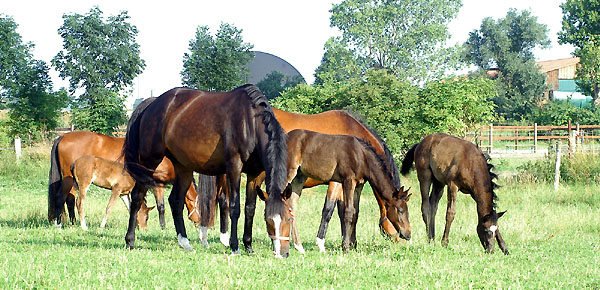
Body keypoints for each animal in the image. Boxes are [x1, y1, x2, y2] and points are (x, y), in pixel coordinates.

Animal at [48, 130, 199, 228]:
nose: (198, 223)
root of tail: (63, 136)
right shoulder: (157, 184)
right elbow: (161, 207)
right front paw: (163, 227)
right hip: (70, 179)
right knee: (62, 198)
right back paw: (59, 223)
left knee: (70, 199)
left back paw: (73, 222)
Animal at [123, 85, 290, 258]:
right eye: (268, 220)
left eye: (289, 219)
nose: (282, 253)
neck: (251, 121)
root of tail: (151, 104)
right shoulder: (234, 167)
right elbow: (234, 207)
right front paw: (235, 246)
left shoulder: (255, 174)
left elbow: (250, 208)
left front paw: (249, 246)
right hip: (149, 162)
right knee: (137, 197)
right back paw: (130, 240)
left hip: (183, 167)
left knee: (176, 200)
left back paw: (185, 243)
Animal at [195, 107, 410, 253]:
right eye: (400, 211)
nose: (405, 237)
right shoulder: (338, 183)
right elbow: (330, 211)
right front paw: (323, 242)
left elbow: (348, 212)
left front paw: (351, 243)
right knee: (238, 203)